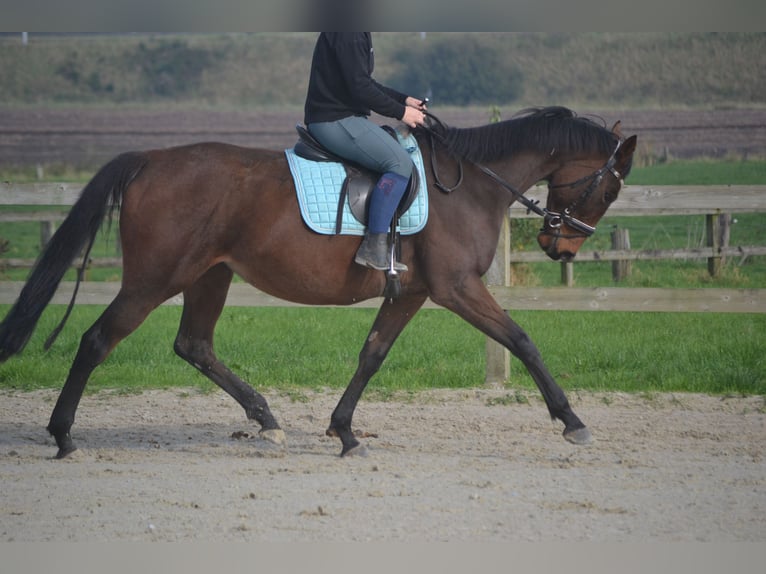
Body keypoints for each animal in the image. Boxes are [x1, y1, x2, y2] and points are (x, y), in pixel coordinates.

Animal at [0, 107, 636, 460]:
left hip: (209, 276)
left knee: (194, 345)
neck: (470, 184)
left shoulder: (412, 293)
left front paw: (344, 431)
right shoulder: (456, 288)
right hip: (155, 279)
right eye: (609, 188)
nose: (561, 247)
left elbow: (372, 354)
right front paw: (573, 422)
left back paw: (265, 419)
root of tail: (151, 159)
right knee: (97, 341)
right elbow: (522, 340)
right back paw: (63, 437)